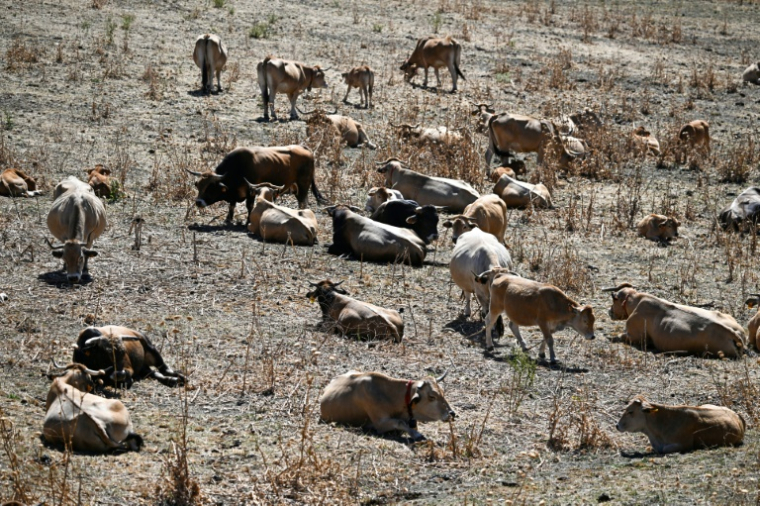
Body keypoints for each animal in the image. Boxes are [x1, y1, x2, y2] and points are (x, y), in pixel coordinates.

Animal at [187, 145, 326, 224]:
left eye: (210, 187)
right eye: (198, 185)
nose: (198, 202)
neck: (237, 168)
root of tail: (305, 149)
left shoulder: (251, 192)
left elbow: (249, 206)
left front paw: (248, 220)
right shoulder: (233, 194)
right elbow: (231, 205)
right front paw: (228, 219)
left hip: (303, 185)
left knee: (303, 202)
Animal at [319, 370, 454, 442]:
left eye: (442, 392)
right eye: (432, 396)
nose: (452, 413)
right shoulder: (380, 423)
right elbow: (400, 422)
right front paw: (417, 435)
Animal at [603, 283, 747, 358]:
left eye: (613, 299)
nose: (609, 311)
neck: (636, 300)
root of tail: (732, 332)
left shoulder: (635, 336)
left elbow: (620, 336)